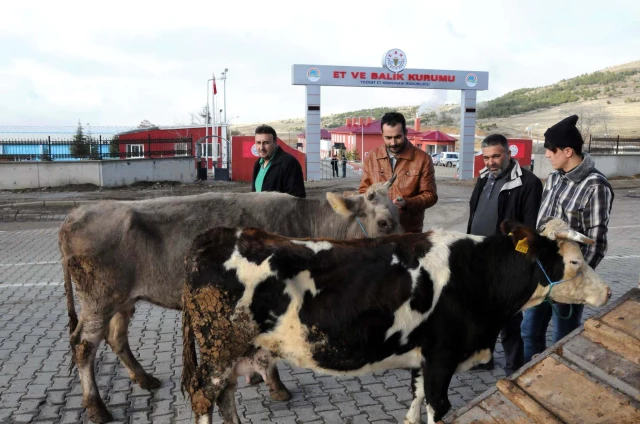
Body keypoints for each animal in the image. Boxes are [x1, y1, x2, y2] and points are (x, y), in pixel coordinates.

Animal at [58, 177, 400, 422]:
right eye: (384, 222)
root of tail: (75, 214)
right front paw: (276, 385)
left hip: (123, 301)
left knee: (116, 337)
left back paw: (144, 378)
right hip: (99, 299)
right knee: (84, 345)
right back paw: (96, 407)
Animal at [179, 219, 608, 424]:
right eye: (574, 261)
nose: (604, 292)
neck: (478, 273)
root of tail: (213, 235)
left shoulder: (423, 354)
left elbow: (415, 396)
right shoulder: (442, 355)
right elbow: (436, 404)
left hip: (234, 352)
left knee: (226, 397)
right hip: (218, 350)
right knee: (203, 397)